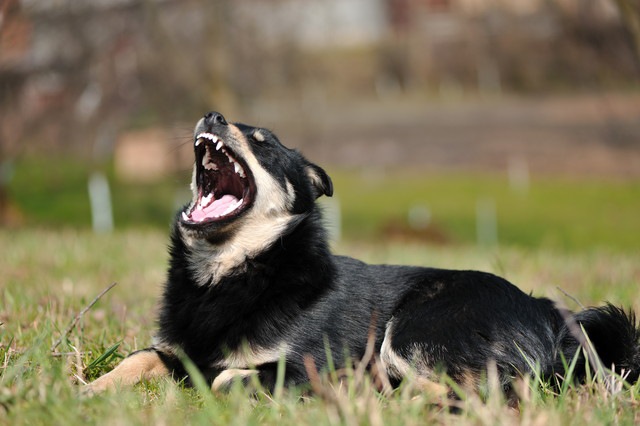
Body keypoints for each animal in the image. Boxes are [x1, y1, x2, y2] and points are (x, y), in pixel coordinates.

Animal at [85, 110, 640, 396]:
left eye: (264, 144)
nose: (213, 114)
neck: (235, 271)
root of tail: (549, 315)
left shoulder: (307, 366)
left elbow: (225, 378)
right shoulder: (173, 351)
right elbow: (138, 359)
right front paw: (86, 390)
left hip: (416, 327)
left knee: (479, 390)